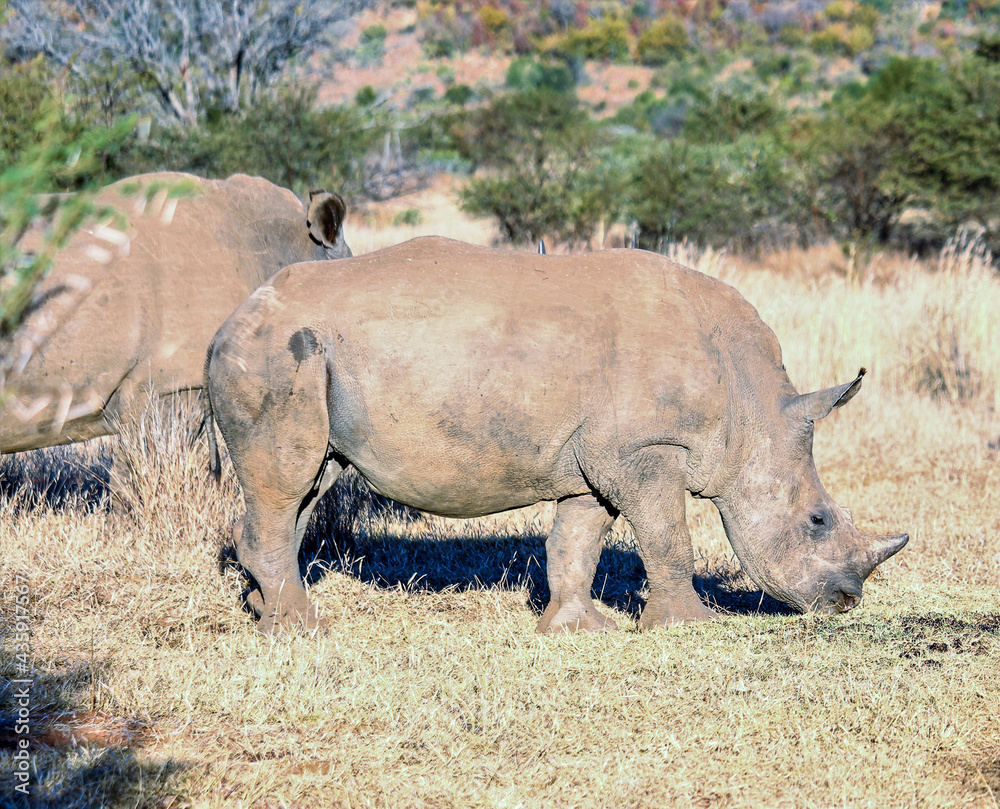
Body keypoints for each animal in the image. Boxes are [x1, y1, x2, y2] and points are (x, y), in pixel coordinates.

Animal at [205, 236, 908, 633]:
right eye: (817, 521)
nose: (845, 603)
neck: (752, 409)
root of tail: (230, 317)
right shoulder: (647, 451)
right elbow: (669, 537)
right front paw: (690, 626)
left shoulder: (597, 461)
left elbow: (577, 542)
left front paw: (577, 631)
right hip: (276, 353)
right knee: (285, 486)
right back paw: (303, 631)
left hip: (295, 359)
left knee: (303, 488)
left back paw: (269, 618)